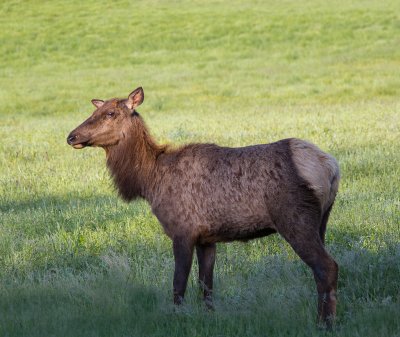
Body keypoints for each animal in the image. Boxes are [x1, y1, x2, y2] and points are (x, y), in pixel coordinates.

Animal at [66, 86, 340, 326]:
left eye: (110, 113)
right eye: (94, 112)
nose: (71, 136)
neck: (149, 181)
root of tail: (331, 166)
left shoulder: (182, 231)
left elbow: (178, 286)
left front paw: (177, 319)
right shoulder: (207, 238)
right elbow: (206, 285)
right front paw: (208, 316)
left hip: (295, 218)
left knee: (327, 267)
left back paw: (324, 324)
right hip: (322, 221)